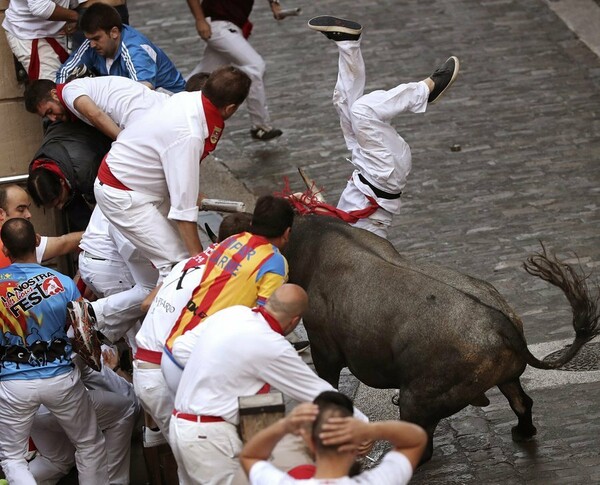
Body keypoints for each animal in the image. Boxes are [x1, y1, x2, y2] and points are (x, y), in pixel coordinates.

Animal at [282, 215, 600, 462]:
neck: (311, 239)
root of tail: (502, 324)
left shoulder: (324, 349)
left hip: (418, 401)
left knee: (422, 447)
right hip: (507, 378)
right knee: (522, 403)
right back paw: (522, 433)